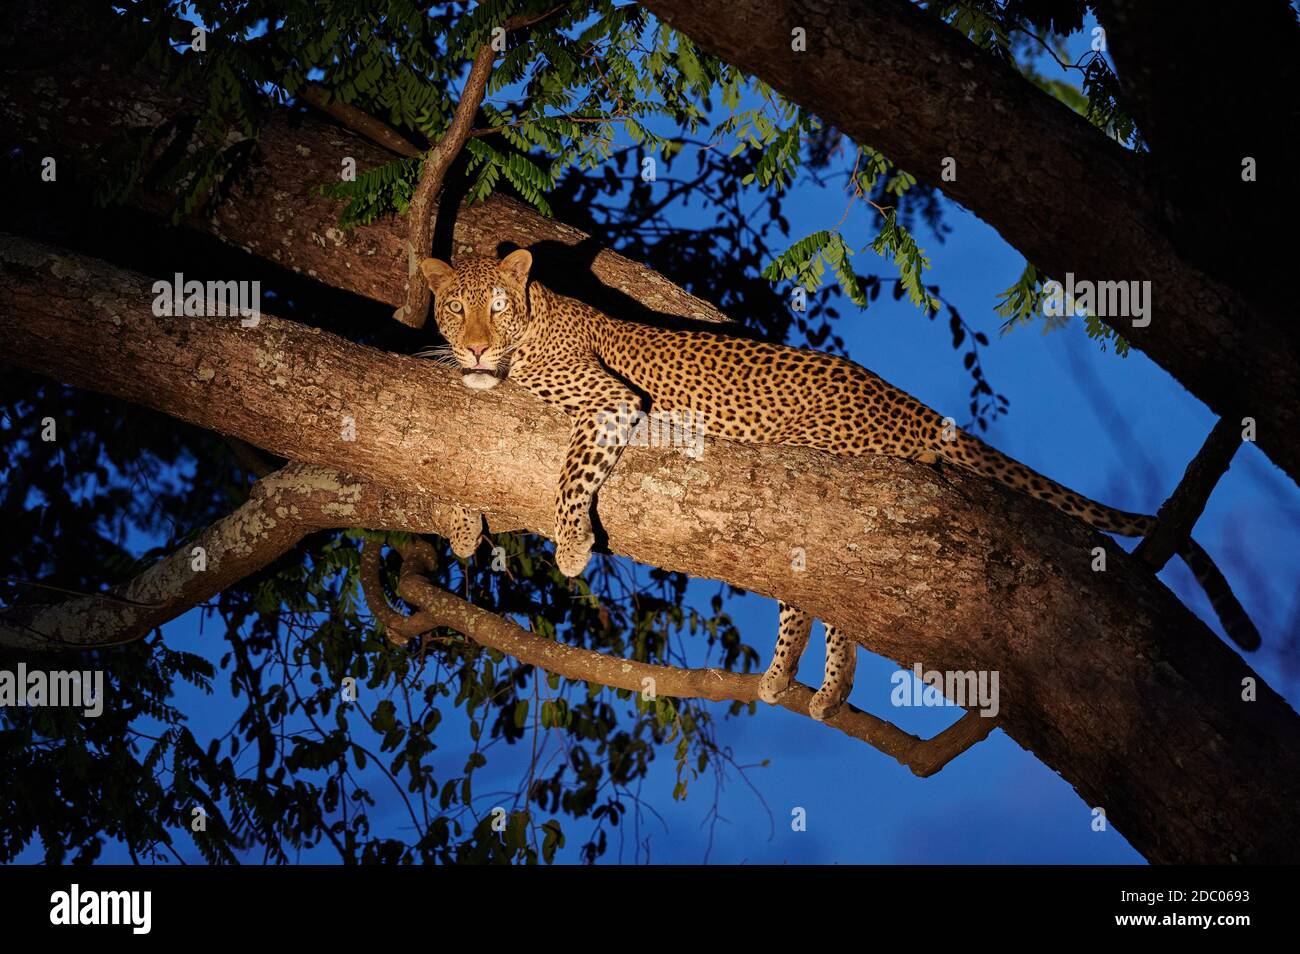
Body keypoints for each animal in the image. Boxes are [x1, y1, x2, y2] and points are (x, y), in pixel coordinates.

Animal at [415, 249, 1260, 722]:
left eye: (496, 305)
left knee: (822, 592)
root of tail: (905, 402)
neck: (531, 329)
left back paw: (791, 678)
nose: (477, 346)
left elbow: (572, 465)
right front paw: (462, 521)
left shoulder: (608, 400)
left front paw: (568, 544)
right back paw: (821, 686)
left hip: (826, 481)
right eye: (455, 307)